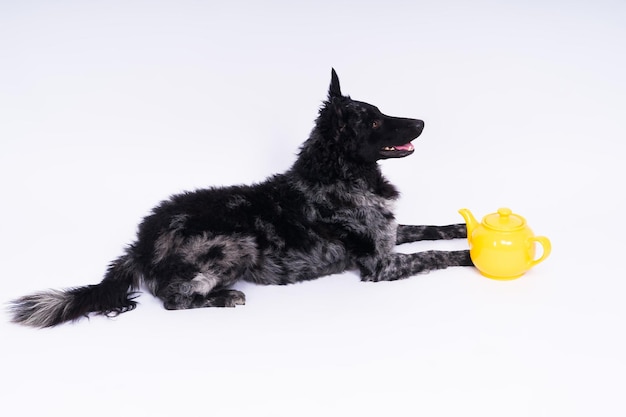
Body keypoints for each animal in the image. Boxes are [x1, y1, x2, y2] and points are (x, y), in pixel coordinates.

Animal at [9, 69, 470, 328]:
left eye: (381, 112)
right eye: (374, 121)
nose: (421, 122)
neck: (337, 173)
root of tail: (140, 244)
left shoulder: (389, 233)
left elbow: (428, 228)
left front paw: (463, 227)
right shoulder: (380, 264)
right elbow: (435, 255)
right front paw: (470, 255)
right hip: (237, 243)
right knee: (174, 299)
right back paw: (224, 297)